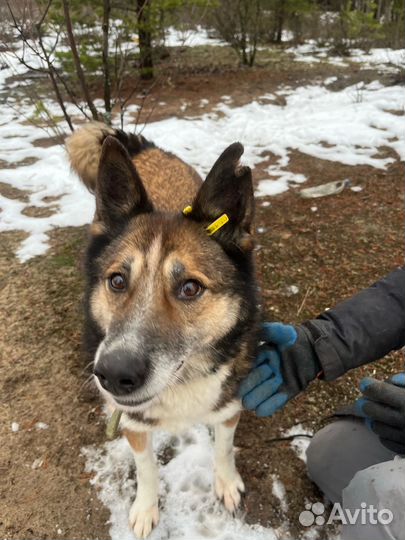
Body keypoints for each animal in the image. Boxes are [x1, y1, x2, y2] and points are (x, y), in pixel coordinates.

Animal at [64, 123, 258, 540]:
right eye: (117, 281)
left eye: (190, 288)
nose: (114, 374)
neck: (180, 384)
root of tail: (144, 147)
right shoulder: (132, 422)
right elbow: (146, 468)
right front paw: (145, 509)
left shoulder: (228, 403)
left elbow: (223, 447)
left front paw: (225, 482)